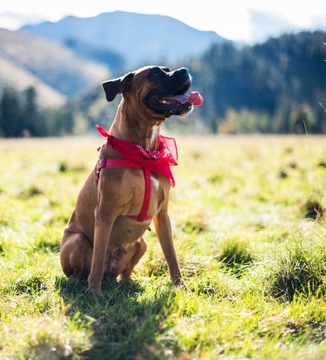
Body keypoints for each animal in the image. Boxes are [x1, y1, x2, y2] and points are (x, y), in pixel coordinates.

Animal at [59, 65, 202, 296]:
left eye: (168, 69)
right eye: (155, 73)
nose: (185, 69)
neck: (144, 151)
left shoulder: (163, 214)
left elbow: (171, 255)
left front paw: (181, 286)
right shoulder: (105, 213)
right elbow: (98, 257)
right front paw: (94, 294)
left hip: (141, 244)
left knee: (124, 271)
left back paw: (128, 283)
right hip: (77, 241)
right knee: (84, 270)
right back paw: (83, 285)